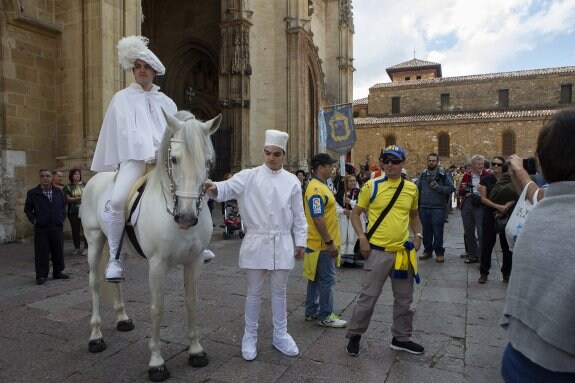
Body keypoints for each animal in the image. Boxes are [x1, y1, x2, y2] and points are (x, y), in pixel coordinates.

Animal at [82, 109, 222, 382]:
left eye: (208, 162)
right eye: (174, 159)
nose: (186, 218)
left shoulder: (194, 261)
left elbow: (192, 302)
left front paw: (196, 350)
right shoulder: (157, 265)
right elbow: (157, 308)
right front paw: (156, 362)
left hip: (120, 249)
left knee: (115, 278)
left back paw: (122, 318)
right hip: (94, 241)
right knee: (94, 283)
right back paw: (95, 337)